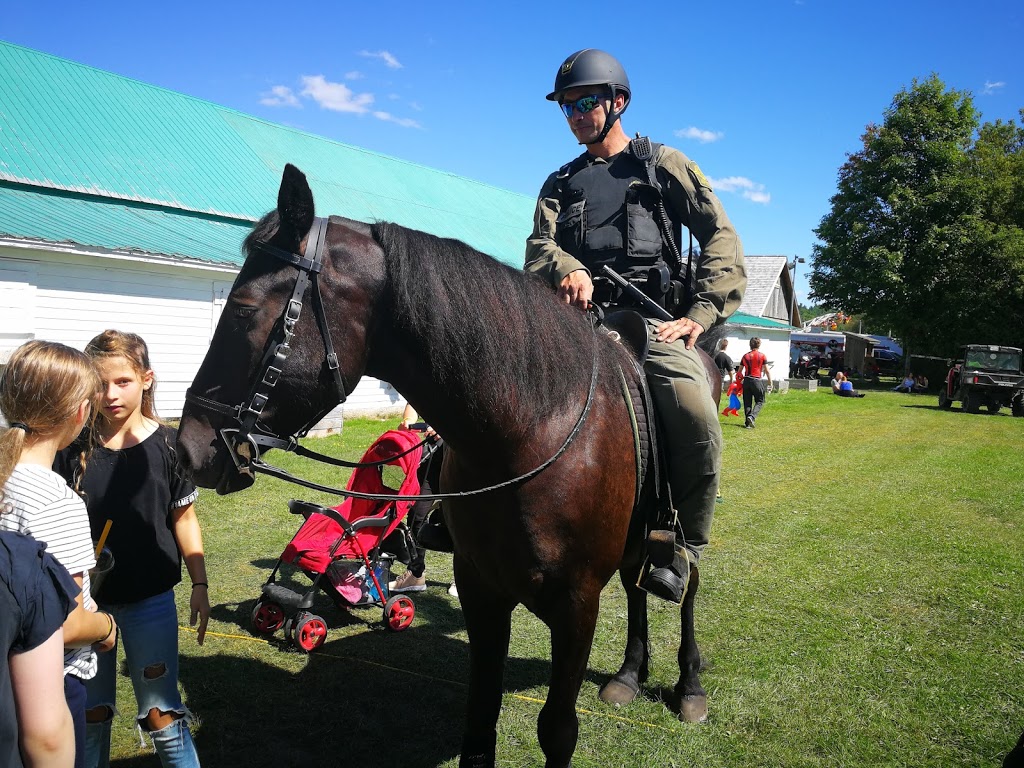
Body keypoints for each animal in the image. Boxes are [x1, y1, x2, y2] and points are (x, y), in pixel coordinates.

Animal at [176, 165, 720, 765]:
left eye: (244, 309)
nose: (189, 448)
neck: (527, 433)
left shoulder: (577, 607)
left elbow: (558, 729)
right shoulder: (483, 591)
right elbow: (479, 724)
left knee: (684, 585)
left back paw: (689, 687)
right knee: (635, 585)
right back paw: (627, 675)